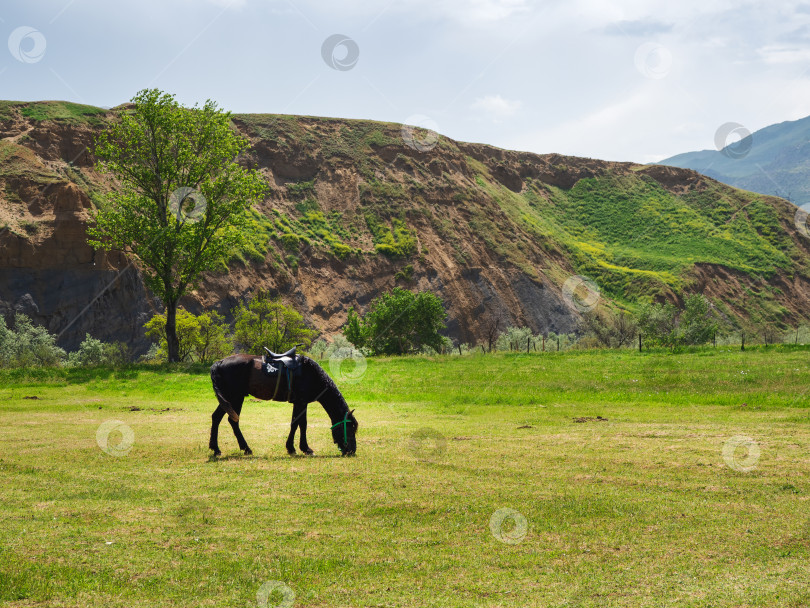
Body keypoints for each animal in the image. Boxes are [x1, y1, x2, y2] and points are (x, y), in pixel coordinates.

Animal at [208, 352, 356, 456]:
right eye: (349, 428)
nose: (352, 450)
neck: (312, 374)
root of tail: (219, 362)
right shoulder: (301, 402)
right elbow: (301, 424)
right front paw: (304, 448)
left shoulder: (298, 403)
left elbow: (296, 423)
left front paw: (293, 448)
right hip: (234, 398)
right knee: (228, 420)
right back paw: (235, 448)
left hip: (232, 399)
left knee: (220, 418)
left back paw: (222, 449)